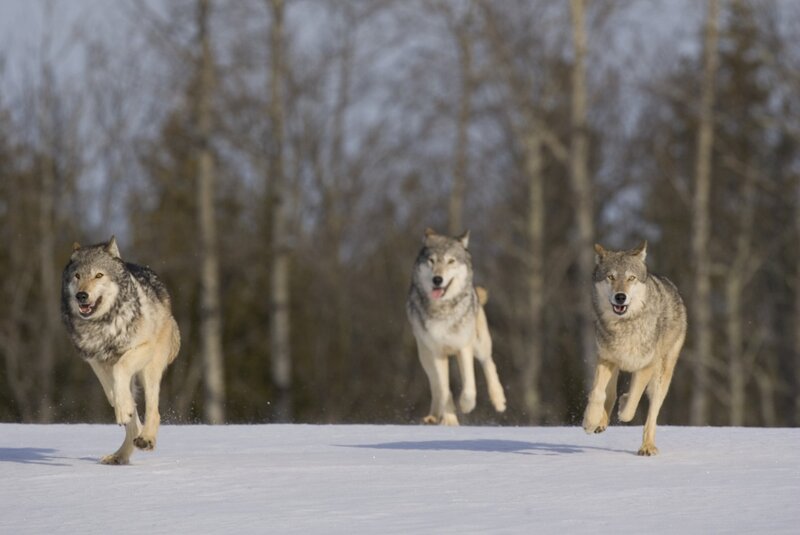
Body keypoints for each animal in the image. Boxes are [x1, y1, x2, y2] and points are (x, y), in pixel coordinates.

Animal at [61, 236, 180, 465]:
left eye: (99, 275)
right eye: (77, 276)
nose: (82, 295)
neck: (102, 325)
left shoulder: (143, 348)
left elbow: (120, 368)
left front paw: (125, 410)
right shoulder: (95, 360)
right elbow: (113, 392)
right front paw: (123, 408)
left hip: (150, 367)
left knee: (154, 410)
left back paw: (146, 439)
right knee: (132, 415)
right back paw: (120, 454)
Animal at [406, 228, 506, 426]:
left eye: (451, 261)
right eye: (432, 260)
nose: (437, 279)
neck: (442, 311)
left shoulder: (463, 347)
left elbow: (469, 386)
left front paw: (466, 406)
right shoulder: (437, 354)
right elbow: (444, 390)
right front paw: (450, 420)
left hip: (479, 344)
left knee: (488, 363)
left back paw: (499, 401)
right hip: (425, 357)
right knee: (436, 386)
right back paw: (433, 416)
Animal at [582, 241, 687, 455]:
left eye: (631, 278)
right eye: (611, 277)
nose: (620, 297)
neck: (625, 326)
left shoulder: (646, 366)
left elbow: (631, 405)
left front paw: (624, 405)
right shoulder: (606, 358)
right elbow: (598, 393)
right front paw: (590, 422)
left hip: (662, 377)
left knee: (652, 413)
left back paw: (647, 447)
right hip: (615, 364)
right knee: (610, 392)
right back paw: (601, 422)